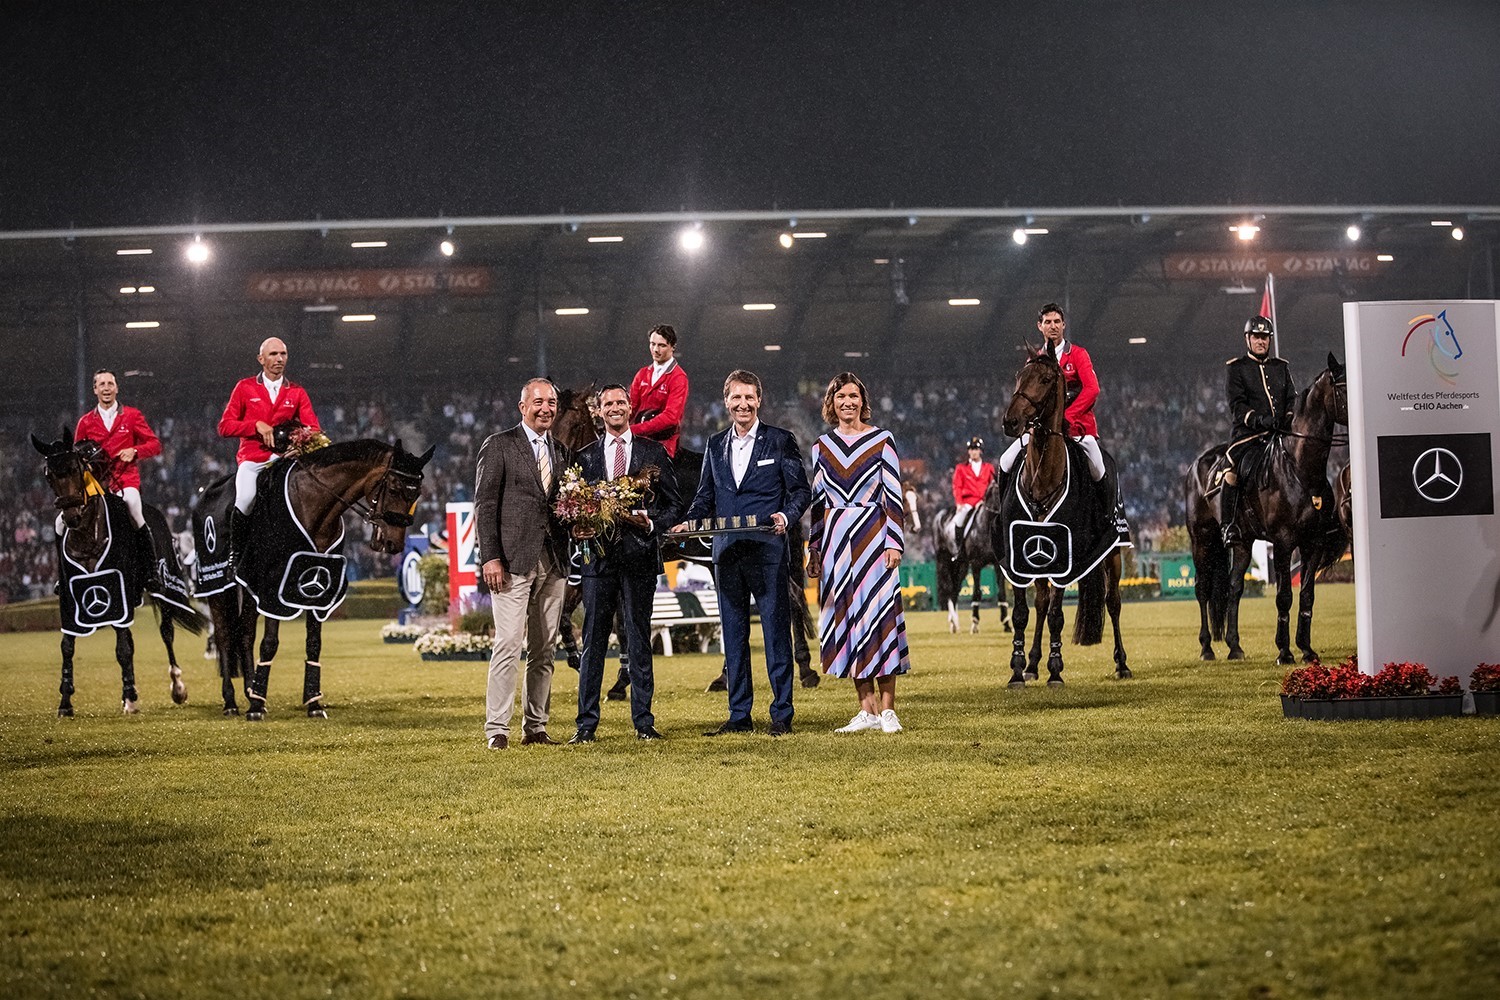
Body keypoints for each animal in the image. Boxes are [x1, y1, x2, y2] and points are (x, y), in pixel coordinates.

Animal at [31, 431, 202, 719]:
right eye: (48, 474)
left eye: (76, 467)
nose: (71, 516)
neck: (87, 534)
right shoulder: (72, 597)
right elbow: (68, 646)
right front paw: (65, 702)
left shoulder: (117, 589)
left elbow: (123, 648)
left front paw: (131, 698)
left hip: (161, 590)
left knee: (166, 632)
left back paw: (177, 686)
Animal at [196, 437, 432, 719]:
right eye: (395, 488)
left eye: (416, 493)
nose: (393, 544)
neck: (315, 507)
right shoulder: (274, 587)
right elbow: (269, 642)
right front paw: (256, 708)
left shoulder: (319, 587)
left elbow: (314, 643)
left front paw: (313, 703)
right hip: (218, 586)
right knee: (223, 636)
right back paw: (232, 702)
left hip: (250, 586)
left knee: (244, 633)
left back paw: (250, 691)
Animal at [996, 346, 1128, 689]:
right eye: (1019, 375)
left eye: (1044, 379)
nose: (1010, 421)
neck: (1042, 478)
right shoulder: (1019, 556)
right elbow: (1023, 614)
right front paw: (1018, 670)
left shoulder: (1063, 558)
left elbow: (1057, 615)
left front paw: (1056, 671)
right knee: (1041, 603)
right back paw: (1032, 664)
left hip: (1114, 553)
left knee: (1113, 602)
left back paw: (1122, 664)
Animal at [1188, 358, 1356, 665]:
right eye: (1342, 388)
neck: (1300, 470)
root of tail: (1197, 463)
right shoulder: (1283, 542)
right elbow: (1284, 596)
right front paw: (1284, 651)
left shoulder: (1313, 543)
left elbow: (1307, 595)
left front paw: (1306, 649)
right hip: (1201, 539)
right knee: (1203, 589)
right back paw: (1206, 648)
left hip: (1242, 542)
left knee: (1234, 588)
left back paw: (1235, 646)